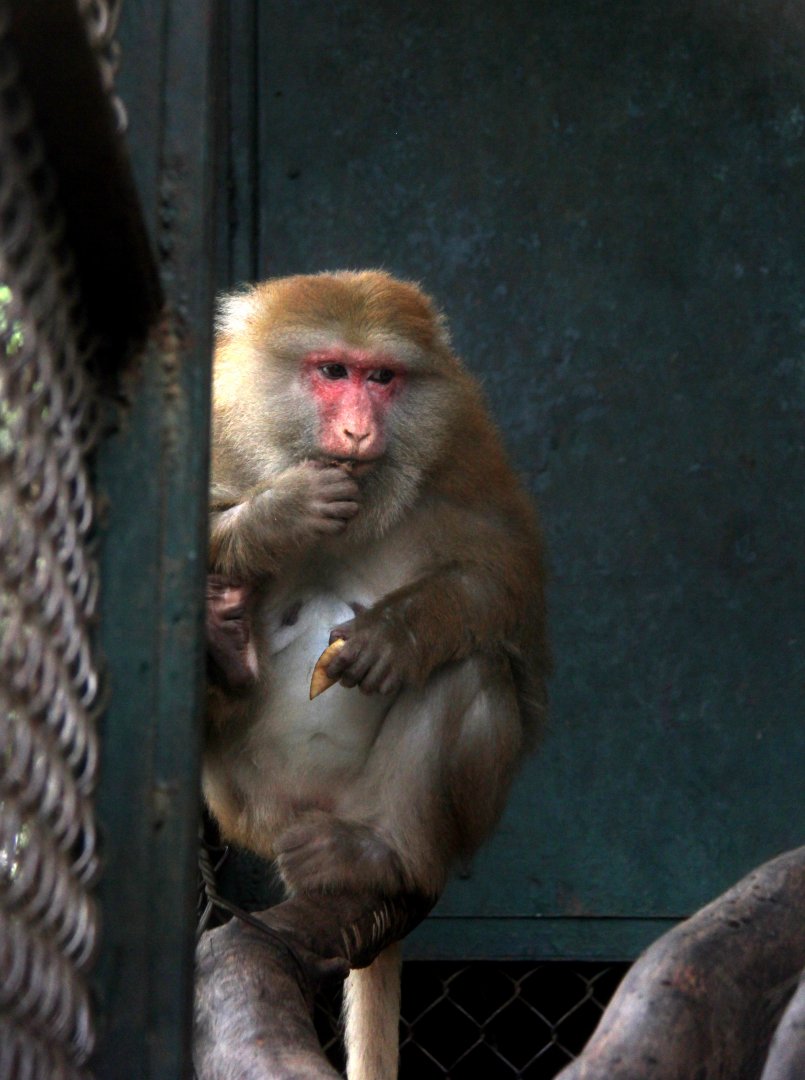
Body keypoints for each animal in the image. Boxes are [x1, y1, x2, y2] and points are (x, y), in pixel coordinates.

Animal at [202, 270, 549, 1080]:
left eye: (381, 378)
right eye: (332, 371)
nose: (358, 433)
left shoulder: (464, 444)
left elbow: (503, 579)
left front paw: (394, 635)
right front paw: (277, 514)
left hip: (406, 813)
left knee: (472, 669)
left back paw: (374, 858)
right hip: (253, 807)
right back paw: (225, 640)